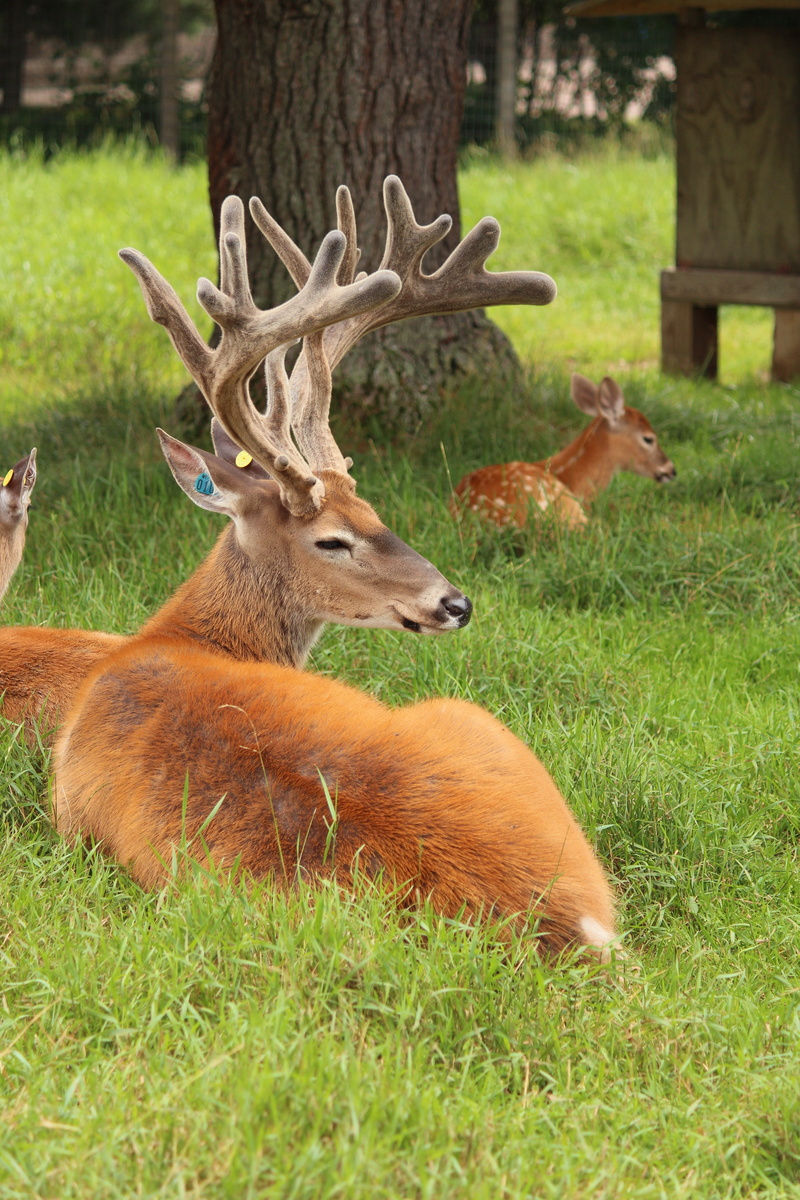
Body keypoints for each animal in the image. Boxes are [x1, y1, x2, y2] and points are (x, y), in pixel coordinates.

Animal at [50, 178, 617, 960]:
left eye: (373, 507)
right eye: (332, 540)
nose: (455, 603)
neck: (170, 638)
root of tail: (564, 921)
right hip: (475, 721)